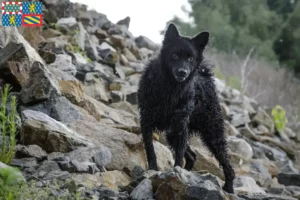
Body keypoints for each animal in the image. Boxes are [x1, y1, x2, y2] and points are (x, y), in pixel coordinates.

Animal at [137, 22, 236, 193]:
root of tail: (205, 76)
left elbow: (178, 156)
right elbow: (150, 149)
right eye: (175, 55)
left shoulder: (180, 126)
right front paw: (154, 169)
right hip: (173, 134)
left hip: (212, 133)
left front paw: (174, 174)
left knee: (226, 163)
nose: (183, 72)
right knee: (192, 156)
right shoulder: (147, 120)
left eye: (190, 58)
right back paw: (187, 174)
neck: (171, 88)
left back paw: (228, 188)